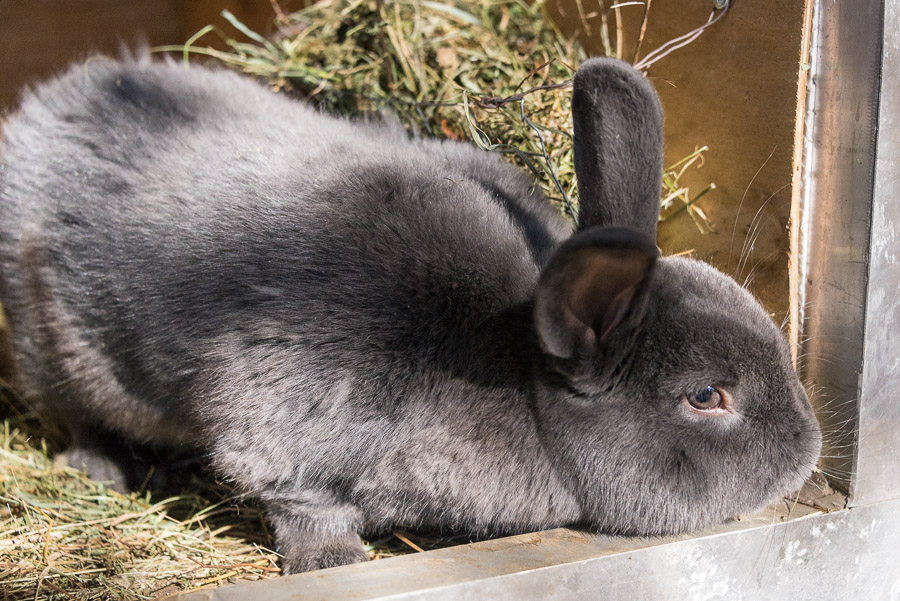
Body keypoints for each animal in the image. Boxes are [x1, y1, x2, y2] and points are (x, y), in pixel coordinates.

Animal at [0, 52, 824, 572]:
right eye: (706, 395)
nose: (808, 449)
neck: (518, 363)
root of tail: (41, 114)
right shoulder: (285, 428)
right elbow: (302, 502)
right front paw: (332, 561)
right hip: (51, 350)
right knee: (73, 414)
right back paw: (104, 466)